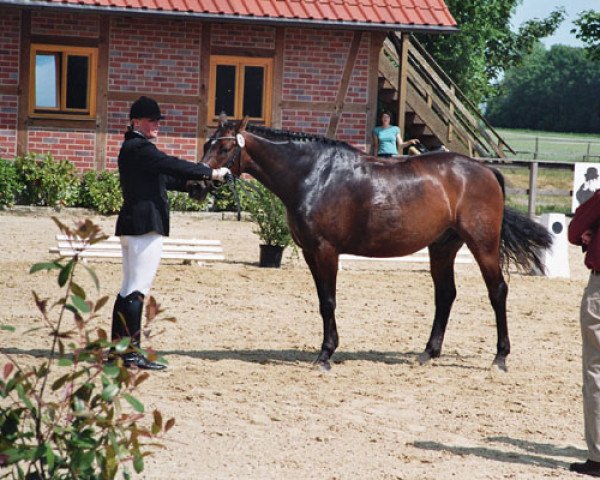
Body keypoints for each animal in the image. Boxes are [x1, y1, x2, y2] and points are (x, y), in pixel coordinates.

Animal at [203, 119, 552, 372]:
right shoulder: (309, 252)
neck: (313, 174)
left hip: (483, 245)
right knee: (446, 295)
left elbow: (328, 301)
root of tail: (485, 170)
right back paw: (428, 353)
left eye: (224, 146)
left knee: (497, 292)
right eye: (208, 143)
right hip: (442, 247)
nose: (206, 177)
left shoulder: (326, 250)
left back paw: (500, 358)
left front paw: (326, 355)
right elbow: (321, 302)